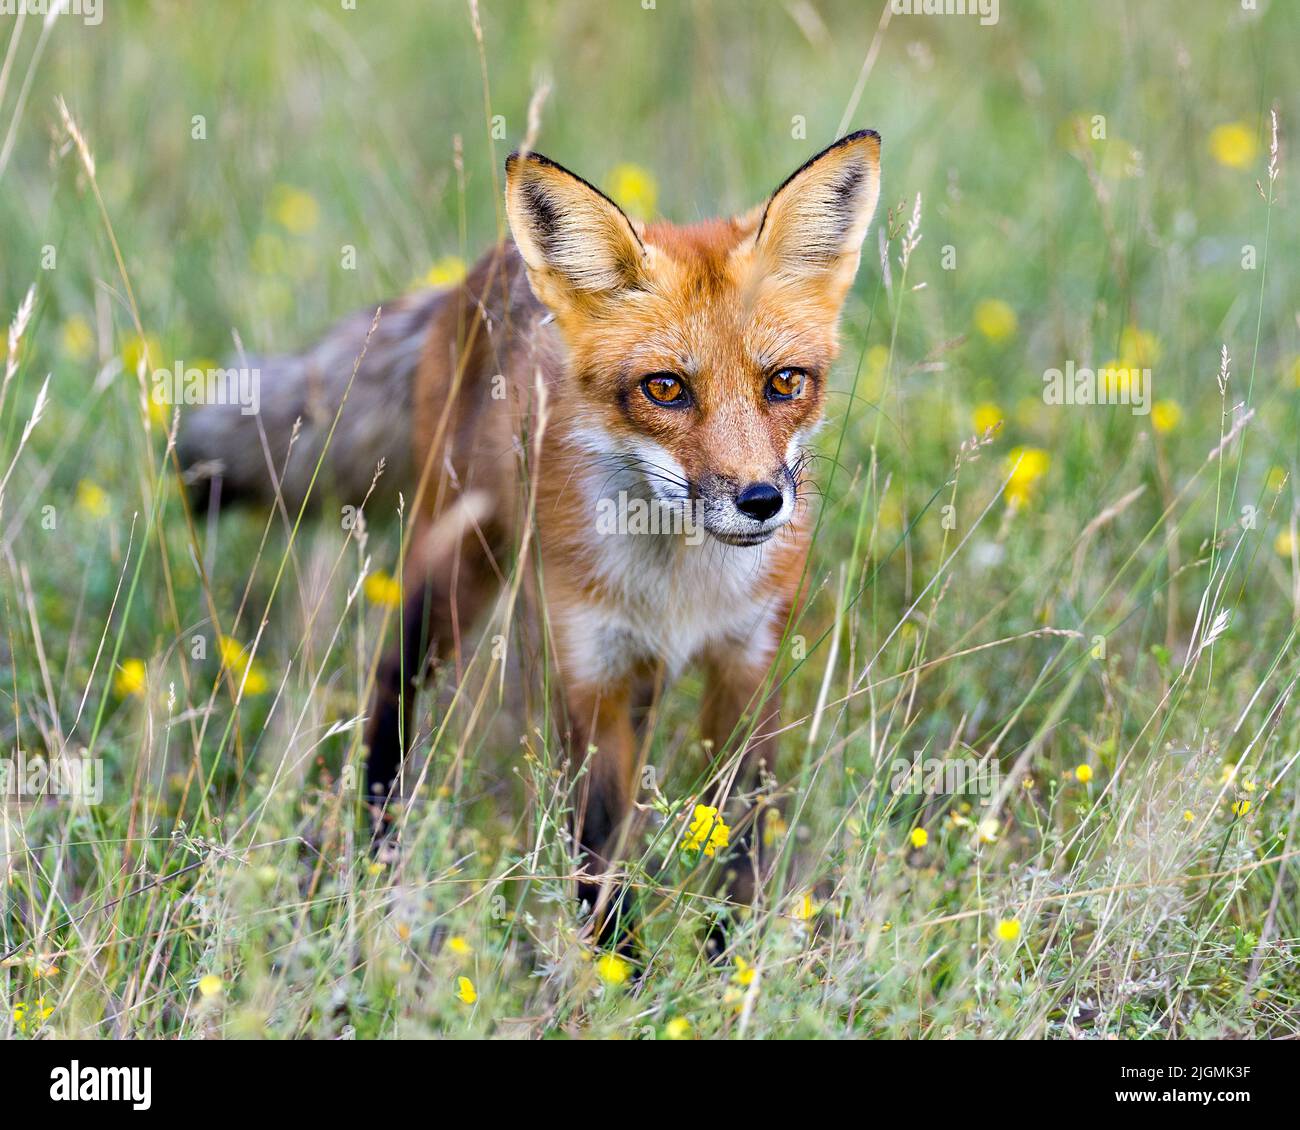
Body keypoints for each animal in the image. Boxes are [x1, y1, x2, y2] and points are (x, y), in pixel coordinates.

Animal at [180, 131, 883, 941]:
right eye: (666, 388)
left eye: (785, 383)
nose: (761, 501)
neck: (680, 589)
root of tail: (480, 271)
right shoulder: (589, 674)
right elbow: (600, 855)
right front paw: (618, 965)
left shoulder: (747, 665)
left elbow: (742, 840)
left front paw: (729, 954)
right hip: (451, 574)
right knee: (390, 691)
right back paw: (378, 856)